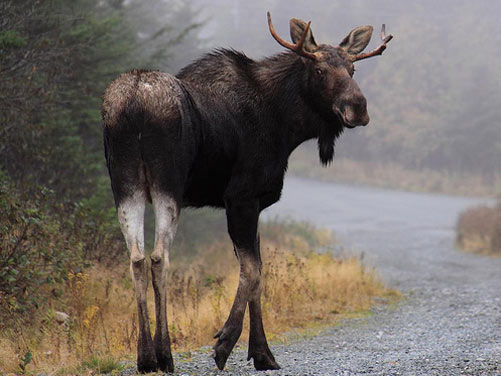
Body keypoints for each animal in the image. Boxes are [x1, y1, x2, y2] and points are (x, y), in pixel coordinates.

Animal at [100, 11, 390, 374]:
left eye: (352, 69)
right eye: (320, 70)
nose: (358, 107)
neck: (285, 126)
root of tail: (134, 104)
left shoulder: (251, 204)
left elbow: (258, 272)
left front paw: (263, 352)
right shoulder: (242, 198)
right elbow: (252, 272)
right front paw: (226, 342)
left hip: (126, 184)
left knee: (137, 258)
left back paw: (145, 356)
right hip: (167, 184)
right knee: (158, 257)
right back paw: (164, 354)